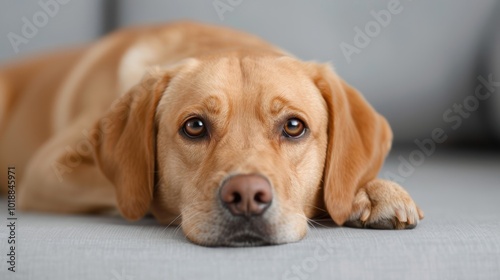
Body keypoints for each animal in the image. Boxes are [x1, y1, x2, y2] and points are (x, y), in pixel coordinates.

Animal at [0, 21, 422, 245]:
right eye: (195, 126)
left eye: (294, 126)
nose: (248, 196)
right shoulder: (49, 169)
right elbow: (129, 192)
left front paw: (372, 191)